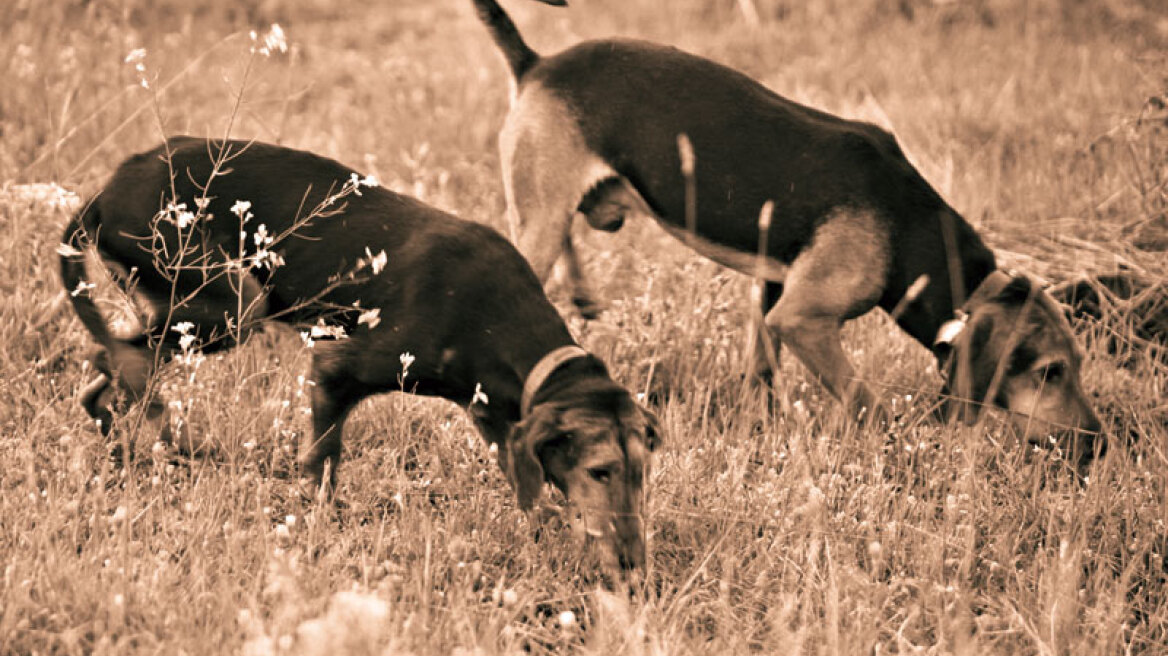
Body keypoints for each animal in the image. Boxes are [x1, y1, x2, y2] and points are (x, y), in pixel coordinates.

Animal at [474, 0, 1102, 462]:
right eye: (1050, 372)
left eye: (1078, 363)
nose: (1099, 443)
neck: (909, 228)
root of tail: (538, 63)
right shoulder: (803, 318)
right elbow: (867, 402)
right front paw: (900, 455)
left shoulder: (771, 290)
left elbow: (762, 376)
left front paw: (759, 429)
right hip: (541, 214)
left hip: (555, 208)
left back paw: (582, 294)